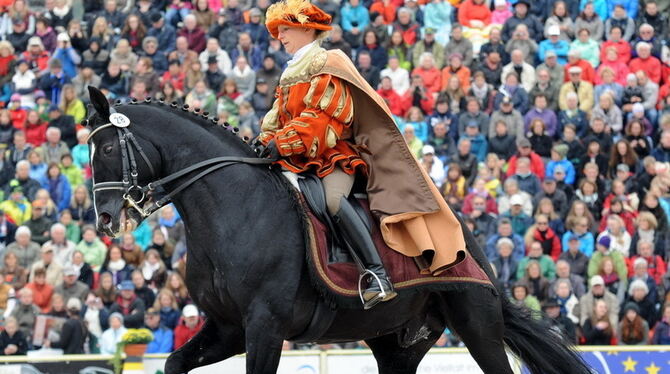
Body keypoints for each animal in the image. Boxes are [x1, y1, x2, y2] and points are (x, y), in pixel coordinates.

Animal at [85, 85, 592, 374]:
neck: (232, 208)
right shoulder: (228, 327)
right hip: (397, 346)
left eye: (107, 147)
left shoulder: (264, 326)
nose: (106, 219)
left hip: (476, 323)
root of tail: (468, 240)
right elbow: (173, 362)